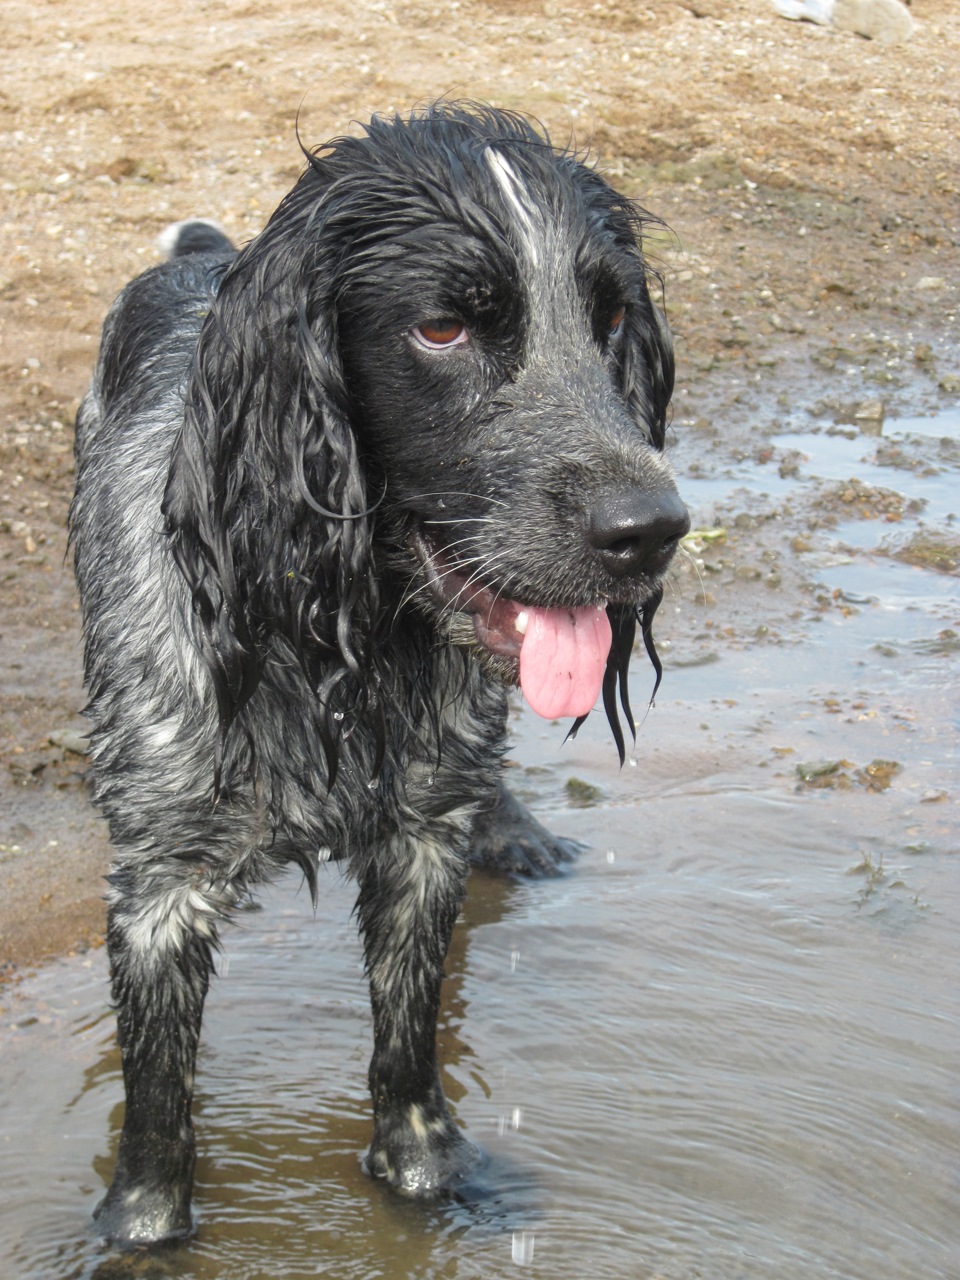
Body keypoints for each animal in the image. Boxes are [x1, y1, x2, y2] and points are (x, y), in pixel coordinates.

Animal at [73, 104, 691, 1244]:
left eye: (613, 315)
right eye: (443, 329)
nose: (650, 530)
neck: (337, 643)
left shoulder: (419, 840)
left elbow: (408, 1046)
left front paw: (427, 1174)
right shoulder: (159, 882)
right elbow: (158, 1100)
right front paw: (137, 1230)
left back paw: (516, 829)